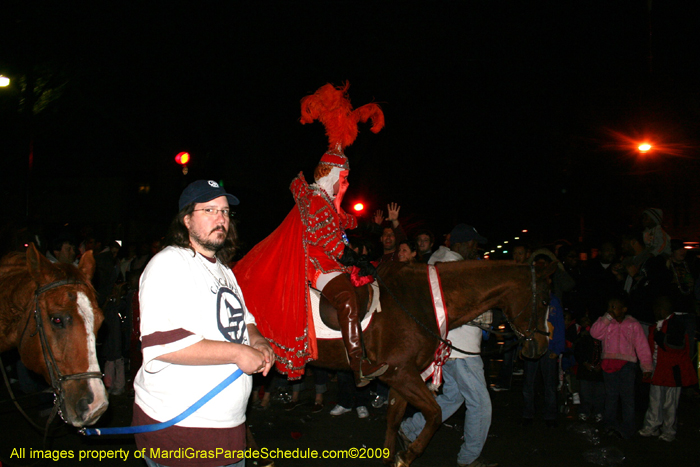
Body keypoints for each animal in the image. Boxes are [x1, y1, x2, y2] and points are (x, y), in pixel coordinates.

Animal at [314, 262, 556, 466]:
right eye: (545, 301)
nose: (543, 346)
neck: (420, 302)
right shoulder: (401, 374)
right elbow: (435, 414)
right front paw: (408, 454)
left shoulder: (402, 376)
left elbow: (394, 419)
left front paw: (393, 456)